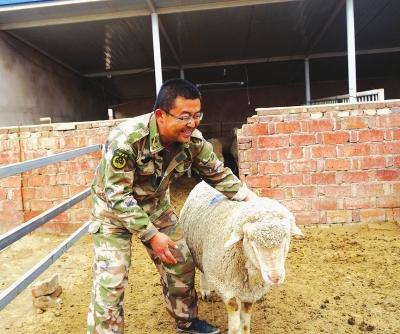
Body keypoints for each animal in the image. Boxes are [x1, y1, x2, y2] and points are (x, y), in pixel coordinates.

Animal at [180, 181, 302, 332]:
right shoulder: (228, 290)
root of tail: (203, 182)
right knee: (203, 270)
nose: (275, 278)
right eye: (250, 240)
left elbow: (245, 324)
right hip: (199, 251)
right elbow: (235, 325)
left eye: (287, 238)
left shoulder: (250, 294)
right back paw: (206, 291)